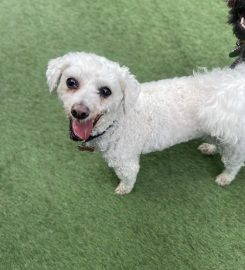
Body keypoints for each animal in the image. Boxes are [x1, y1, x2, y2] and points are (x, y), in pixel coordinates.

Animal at [45, 52, 245, 194]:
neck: (117, 121)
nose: (79, 112)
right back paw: (210, 148)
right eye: (71, 82)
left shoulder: (126, 162)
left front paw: (123, 190)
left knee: (234, 163)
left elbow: (128, 178)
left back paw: (225, 177)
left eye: (106, 91)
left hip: (234, 145)